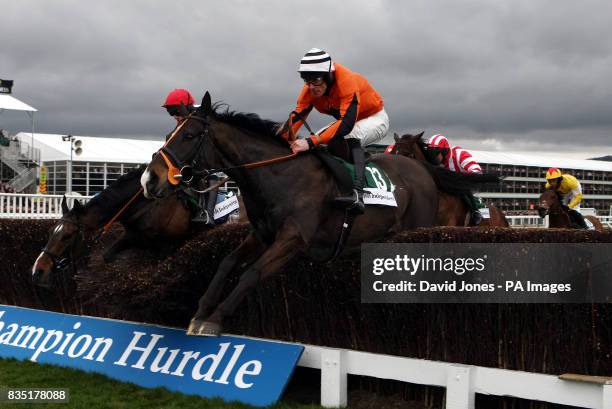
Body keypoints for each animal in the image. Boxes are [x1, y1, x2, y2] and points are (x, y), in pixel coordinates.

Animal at [141, 91, 500, 334]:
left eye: (189, 135)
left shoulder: (292, 240)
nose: (150, 178)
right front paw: (200, 312)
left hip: (419, 231)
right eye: (169, 133)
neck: (280, 176)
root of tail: (423, 170)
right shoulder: (262, 234)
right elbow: (228, 261)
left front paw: (214, 320)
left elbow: (251, 273)